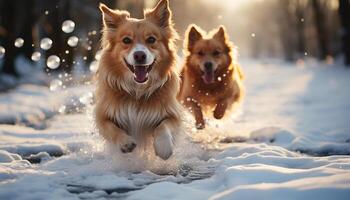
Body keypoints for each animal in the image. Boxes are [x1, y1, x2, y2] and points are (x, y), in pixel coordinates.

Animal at [95, 0, 183, 159]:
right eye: (126, 40)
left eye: (151, 39)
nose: (140, 55)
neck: (137, 91)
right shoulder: (102, 114)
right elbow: (112, 128)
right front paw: (125, 142)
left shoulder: (173, 113)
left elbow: (163, 126)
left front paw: (164, 147)